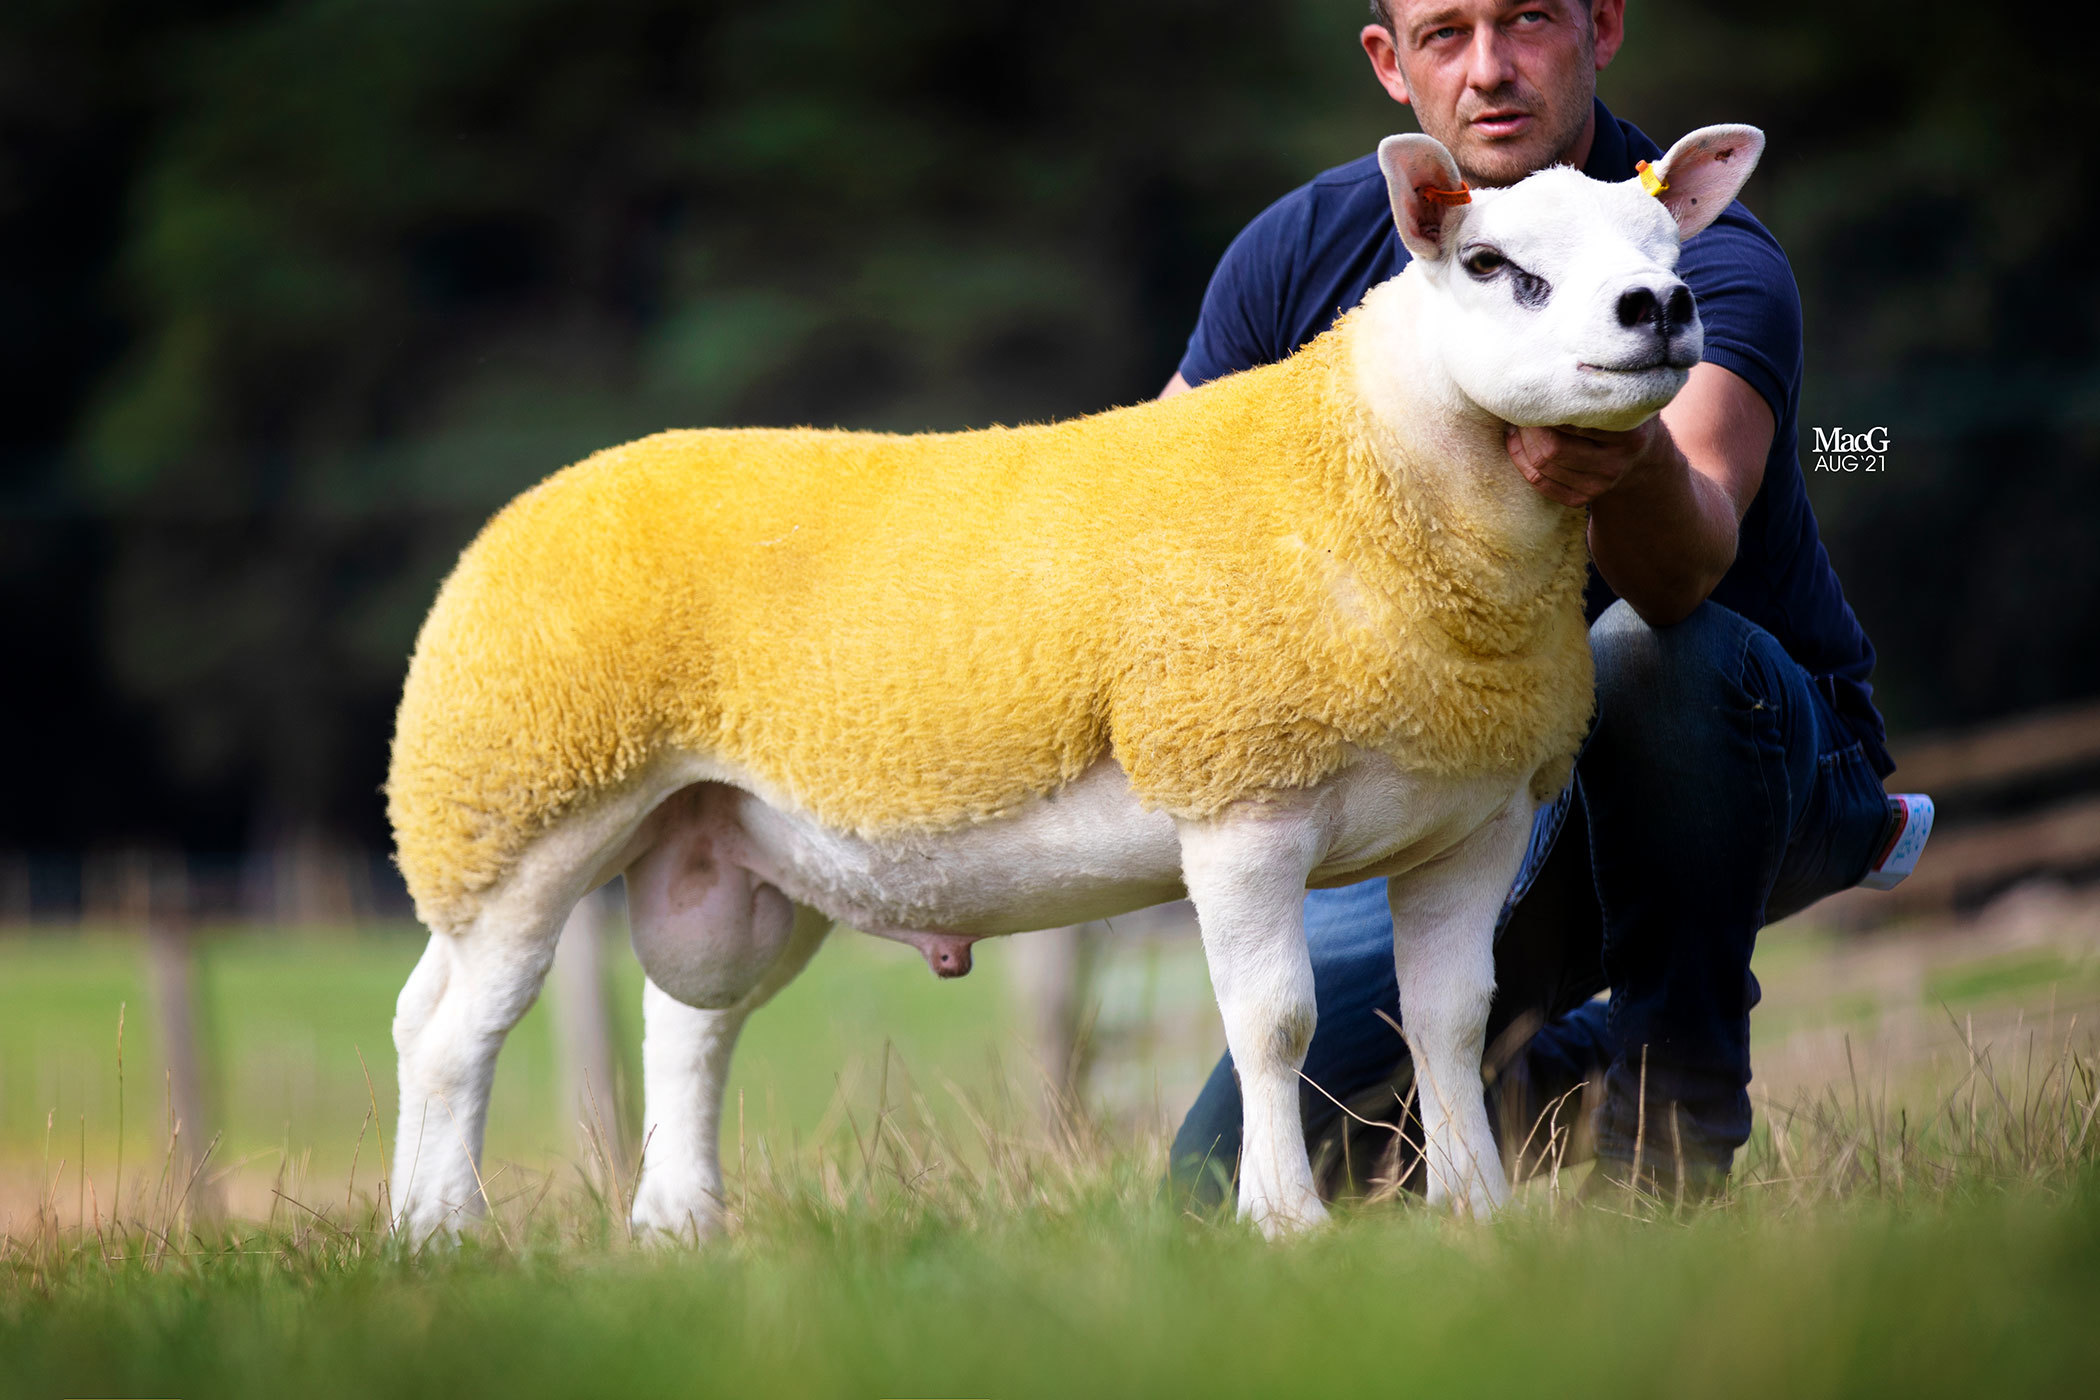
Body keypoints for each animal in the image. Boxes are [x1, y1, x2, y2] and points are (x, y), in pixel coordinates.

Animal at [386, 120, 1763, 1234]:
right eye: (1493, 266)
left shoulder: (1475, 820)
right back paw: (445, 1229)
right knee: (454, 1028)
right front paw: (1285, 1221)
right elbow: (1275, 1021)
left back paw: (671, 1226)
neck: (1370, 482)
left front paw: (1476, 1214)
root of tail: (537, 499)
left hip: (720, 842)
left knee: (681, 1021)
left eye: (1666, 243)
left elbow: (1453, 1021)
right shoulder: (1238, 796)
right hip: (514, 799)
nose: (1657, 308)